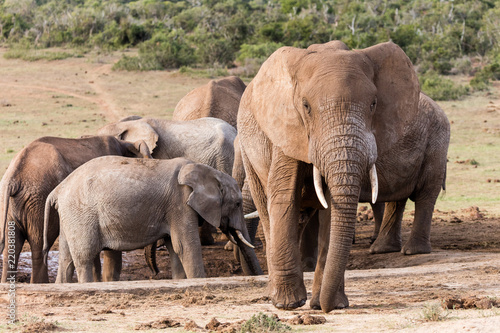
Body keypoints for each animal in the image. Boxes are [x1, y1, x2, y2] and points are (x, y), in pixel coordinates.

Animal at [0, 135, 152, 282]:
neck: (125, 143)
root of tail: (13, 178)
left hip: (11, 206)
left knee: (12, 246)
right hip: (39, 200)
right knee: (40, 246)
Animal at [43, 157, 264, 282]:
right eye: (237, 204)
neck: (205, 172)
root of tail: (58, 189)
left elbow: (175, 248)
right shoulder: (180, 203)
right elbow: (186, 247)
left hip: (70, 216)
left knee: (66, 260)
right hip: (81, 213)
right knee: (84, 258)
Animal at [236, 40, 452, 312]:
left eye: (373, 104)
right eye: (306, 106)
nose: (326, 308)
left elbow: (332, 209)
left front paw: (328, 304)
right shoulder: (285, 130)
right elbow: (285, 197)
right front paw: (290, 304)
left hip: (437, 142)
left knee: (424, 194)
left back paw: (409, 252)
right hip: (248, 151)